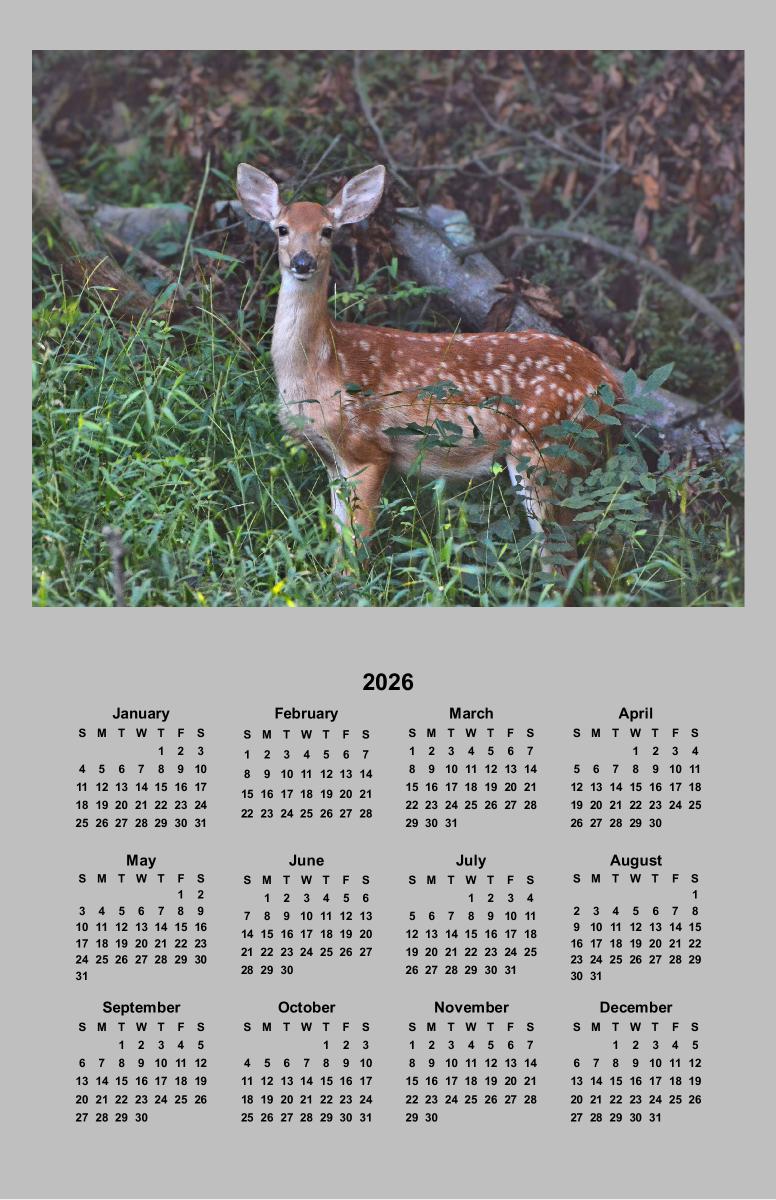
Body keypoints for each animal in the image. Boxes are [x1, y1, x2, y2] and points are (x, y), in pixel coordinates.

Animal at [236, 161, 622, 565]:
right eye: (282, 229)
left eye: (327, 230)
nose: (302, 261)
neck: (322, 369)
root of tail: (609, 381)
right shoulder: (330, 458)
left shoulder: (367, 449)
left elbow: (355, 553)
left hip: (545, 446)